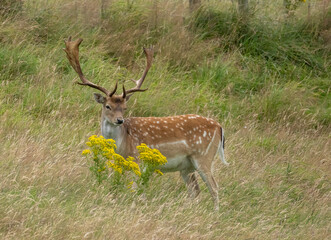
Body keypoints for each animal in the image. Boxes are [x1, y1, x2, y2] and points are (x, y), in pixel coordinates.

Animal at [63, 36, 228, 210]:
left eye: (124, 107)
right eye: (108, 106)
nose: (119, 120)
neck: (123, 144)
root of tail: (219, 127)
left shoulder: (138, 160)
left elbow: (138, 190)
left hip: (203, 156)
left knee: (214, 187)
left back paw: (216, 213)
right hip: (186, 166)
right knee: (195, 191)